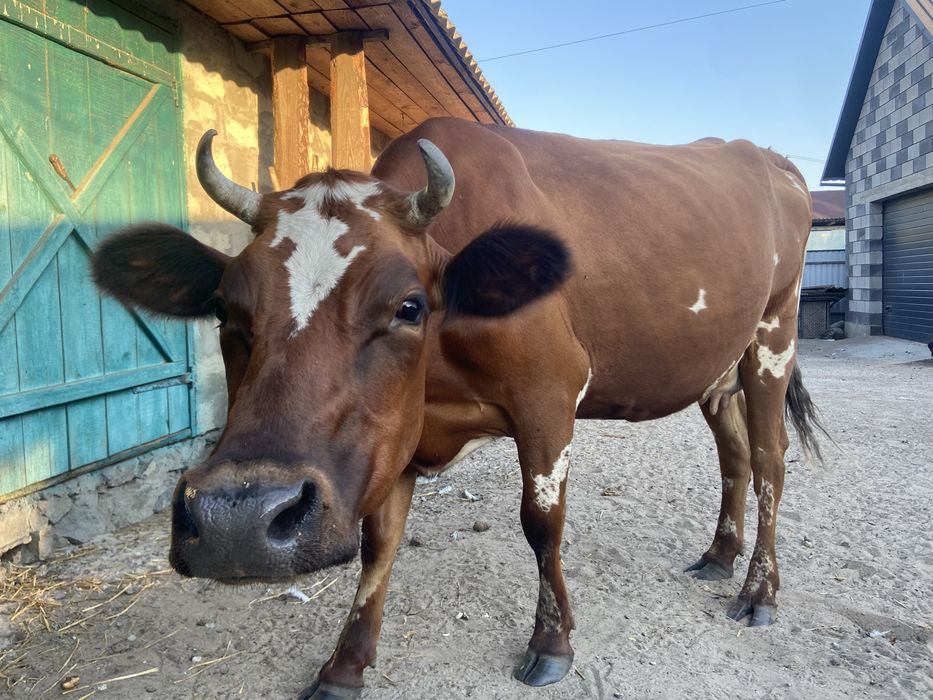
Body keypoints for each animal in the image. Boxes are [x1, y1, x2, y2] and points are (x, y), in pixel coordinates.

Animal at [92, 117, 823, 699]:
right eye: (226, 311)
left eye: (408, 306)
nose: (237, 523)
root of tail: (766, 156)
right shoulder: (397, 437)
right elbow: (378, 543)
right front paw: (345, 666)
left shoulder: (549, 393)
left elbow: (541, 524)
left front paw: (551, 644)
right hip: (717, 368)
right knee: (733, 453)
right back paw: (719, 555)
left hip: (773, 334)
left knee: (770, 461)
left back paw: (758, 590)